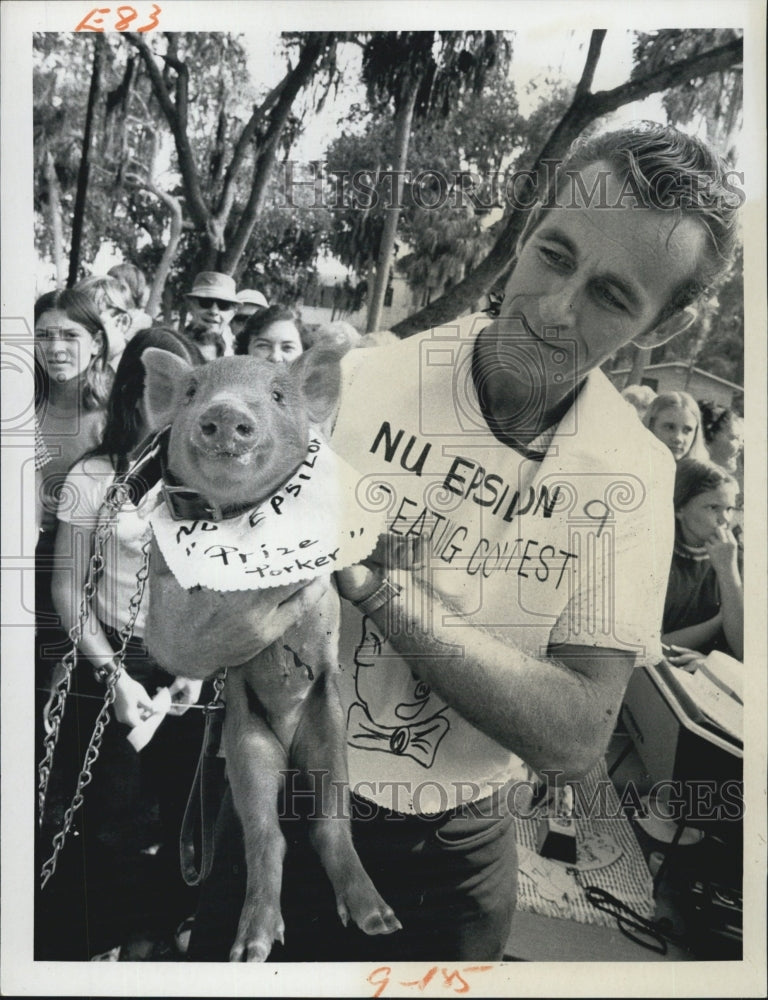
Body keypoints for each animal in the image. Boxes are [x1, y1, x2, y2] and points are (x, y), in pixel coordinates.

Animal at [141, 350, 402, 960]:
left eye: (279, 396)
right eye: (192, 391)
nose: (224, 412)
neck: (248, 516)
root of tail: (287, 738)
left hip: (327, 726)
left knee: (329, 822)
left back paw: (380, 921)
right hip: (245, 741)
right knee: (268, 835)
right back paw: (251, 947)